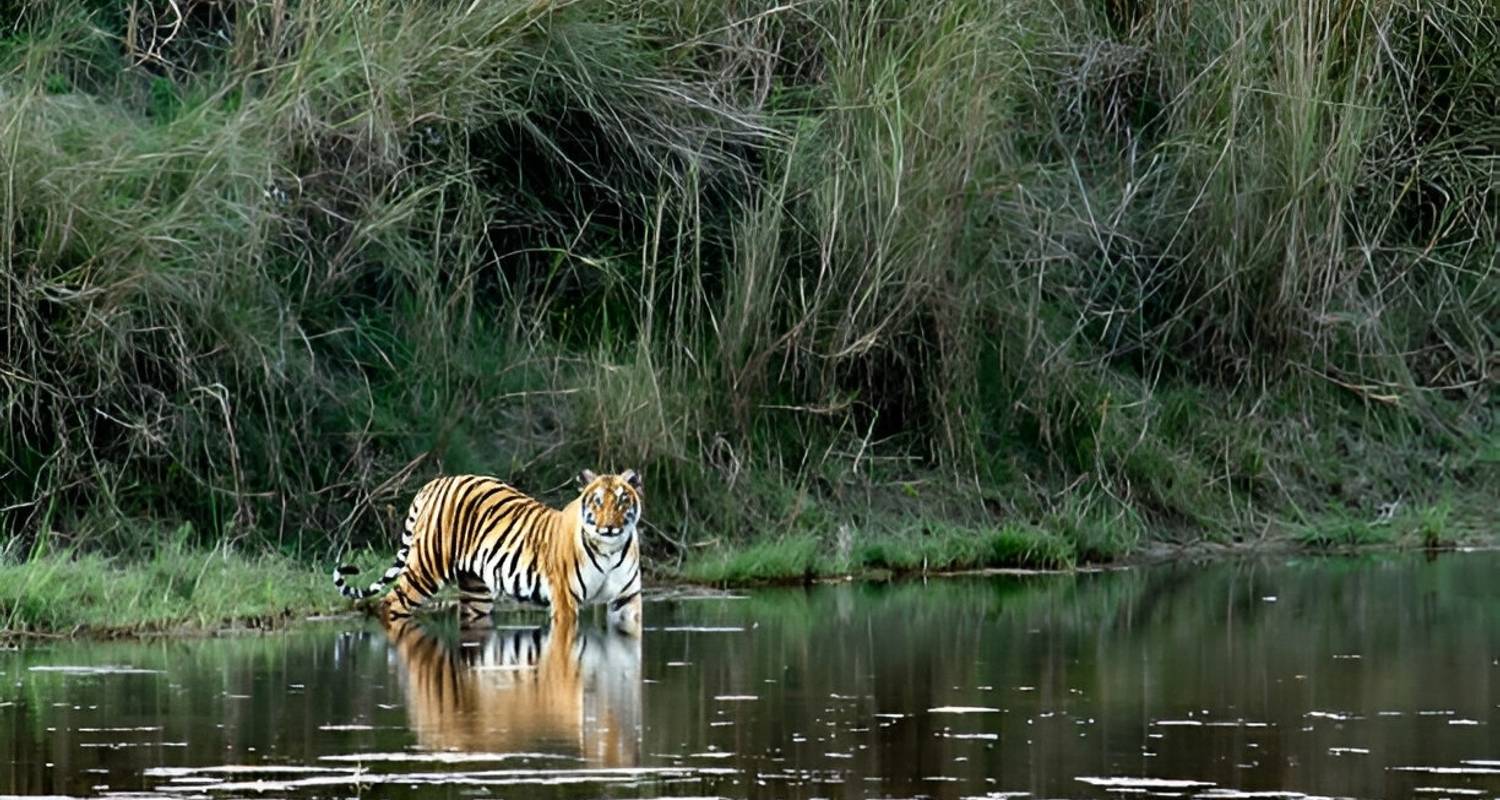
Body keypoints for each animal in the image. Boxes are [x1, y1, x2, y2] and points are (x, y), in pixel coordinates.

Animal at [331, 468, 642, 630]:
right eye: (597, 502)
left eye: (622, 501)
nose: (609, 527)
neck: (609, 549)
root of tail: (434, 483)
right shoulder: (565, 601)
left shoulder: (627, 600)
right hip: (426, 569)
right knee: (390, 603)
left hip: (476, 590)